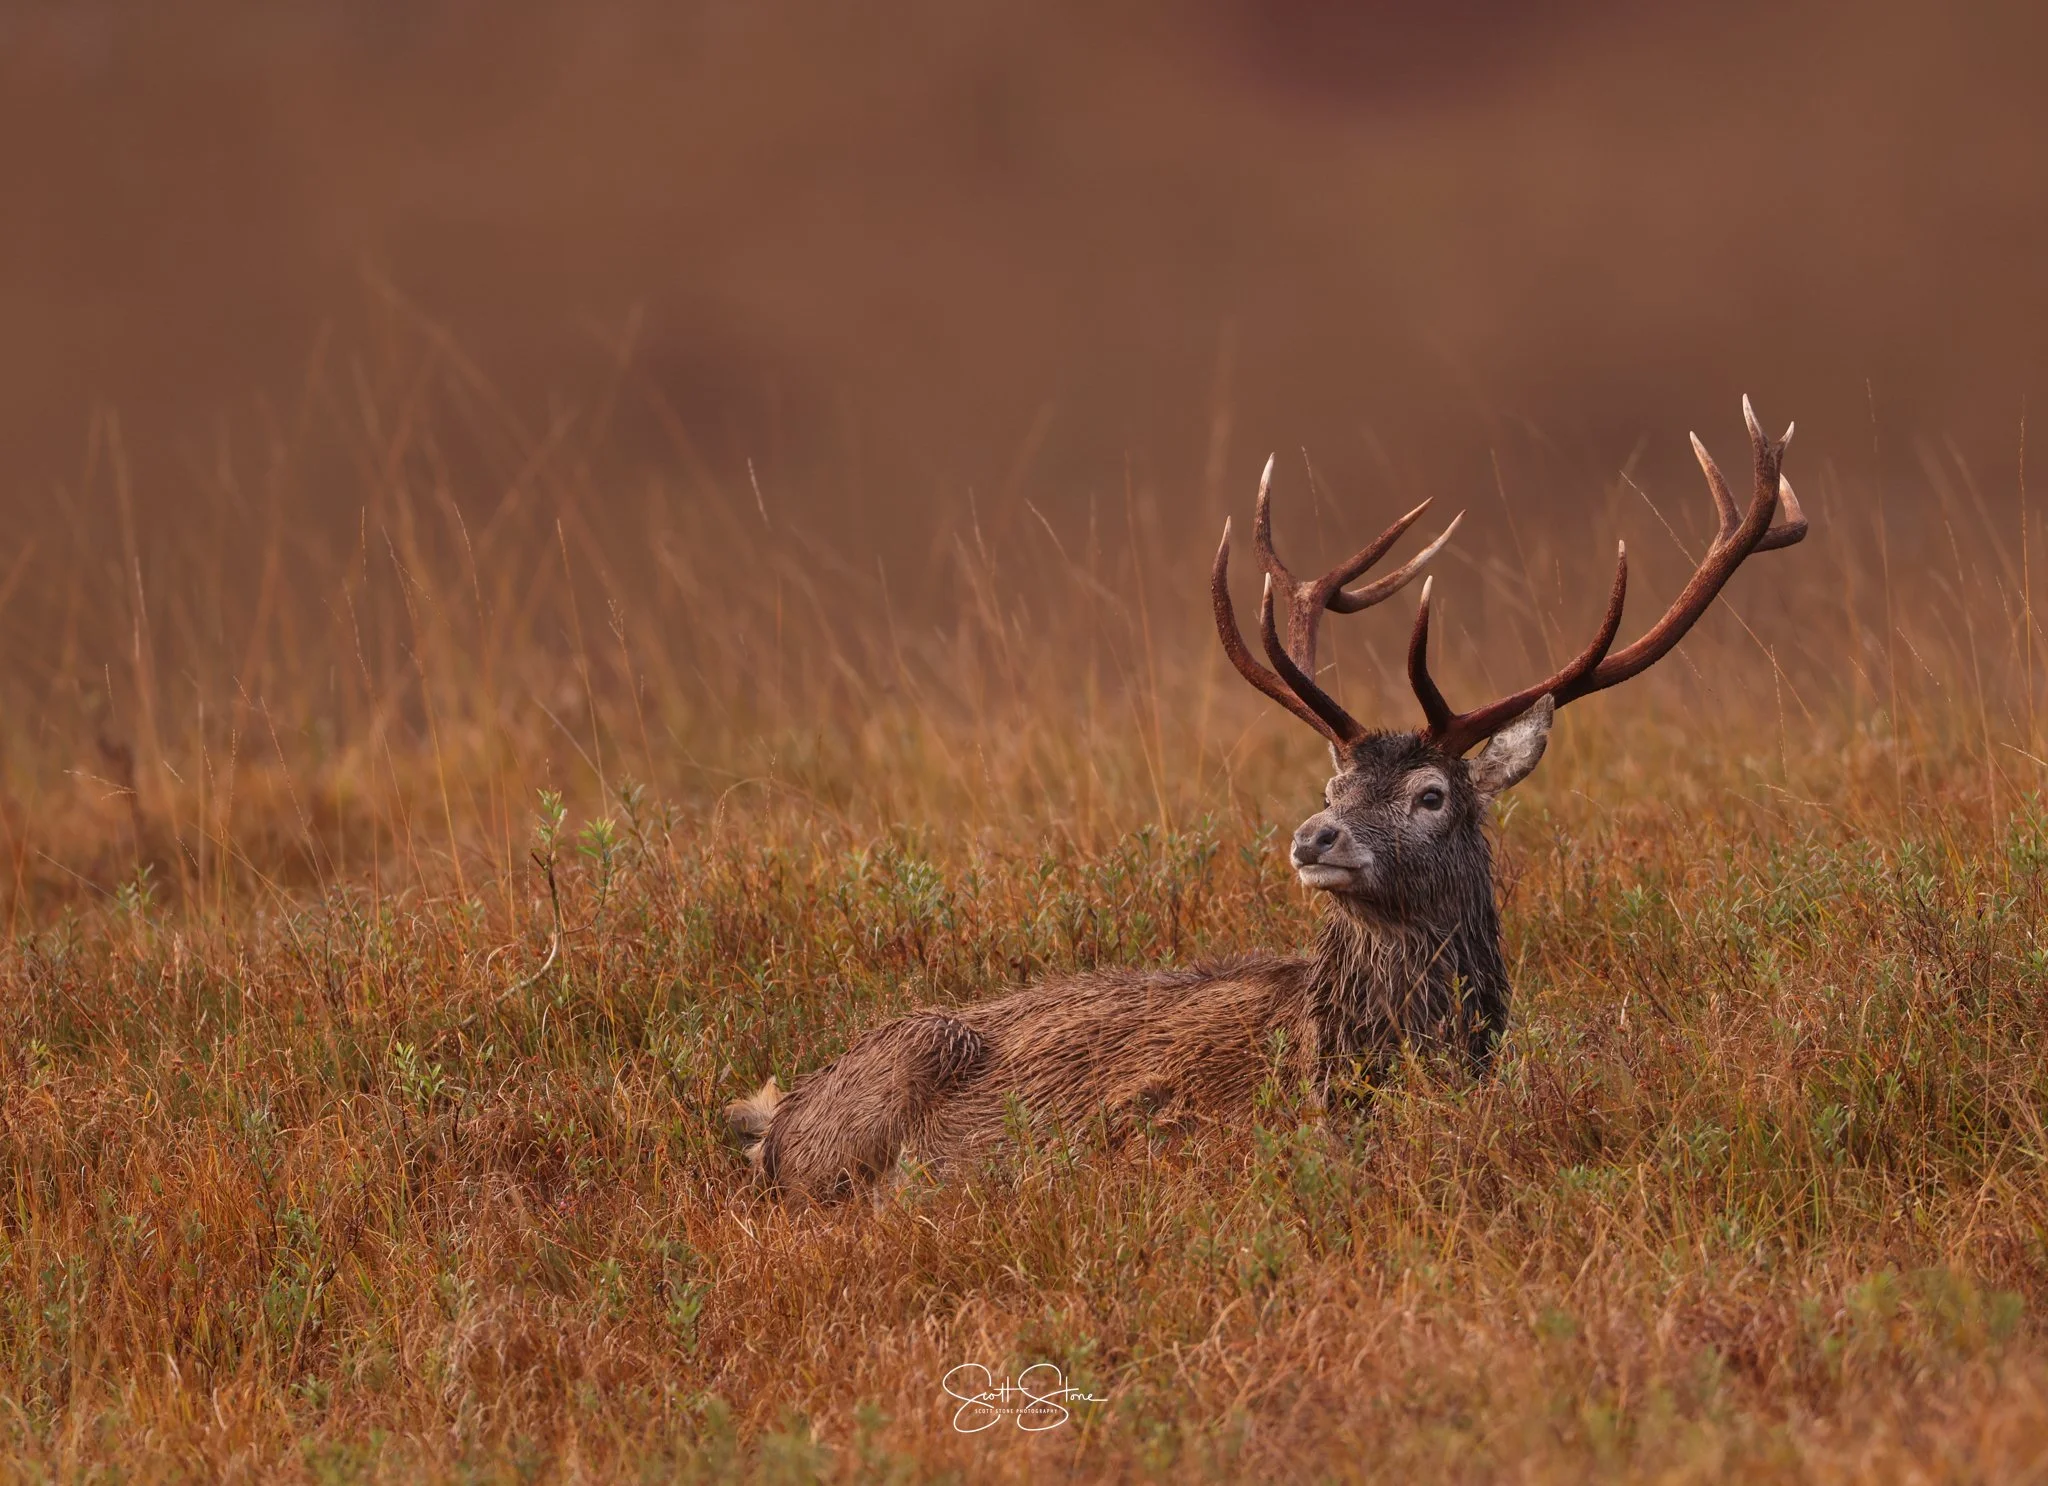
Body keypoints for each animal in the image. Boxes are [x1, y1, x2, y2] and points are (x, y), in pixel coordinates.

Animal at [728, 400, 1807, 1200]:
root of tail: (778, 1113)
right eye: (1332, 781)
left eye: (1430, 794)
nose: (1312, 836)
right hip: (892, 1078)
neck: (1348, 1068)